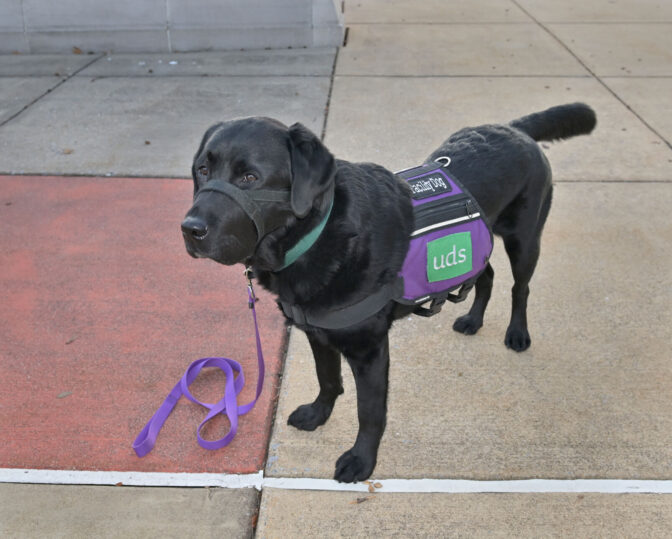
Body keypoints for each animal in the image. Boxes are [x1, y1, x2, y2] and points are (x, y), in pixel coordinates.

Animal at [181, 103, 596, 484]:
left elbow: (370, 412)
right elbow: (327, 378)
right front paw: (318, 414)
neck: (319, 231)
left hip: (525, 239)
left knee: (520, 287)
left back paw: (517, 333)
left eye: (250, 176)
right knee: (487, 274)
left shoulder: (369, 350)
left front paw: (361, 461)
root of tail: (513, 128)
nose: (190, 228)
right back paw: (473, 319)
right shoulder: (317, 333)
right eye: (202, 170)